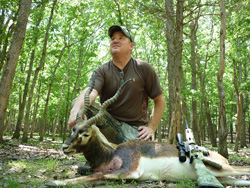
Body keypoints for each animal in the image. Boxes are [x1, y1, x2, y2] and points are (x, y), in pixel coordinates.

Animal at [47, 75, 250, 187]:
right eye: (73, 128)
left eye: (86, 133)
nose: (65, 147)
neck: (111, 154)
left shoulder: (130, 172)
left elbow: (96, 175)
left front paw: (55, 181)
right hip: (224, 177)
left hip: (223, 169)